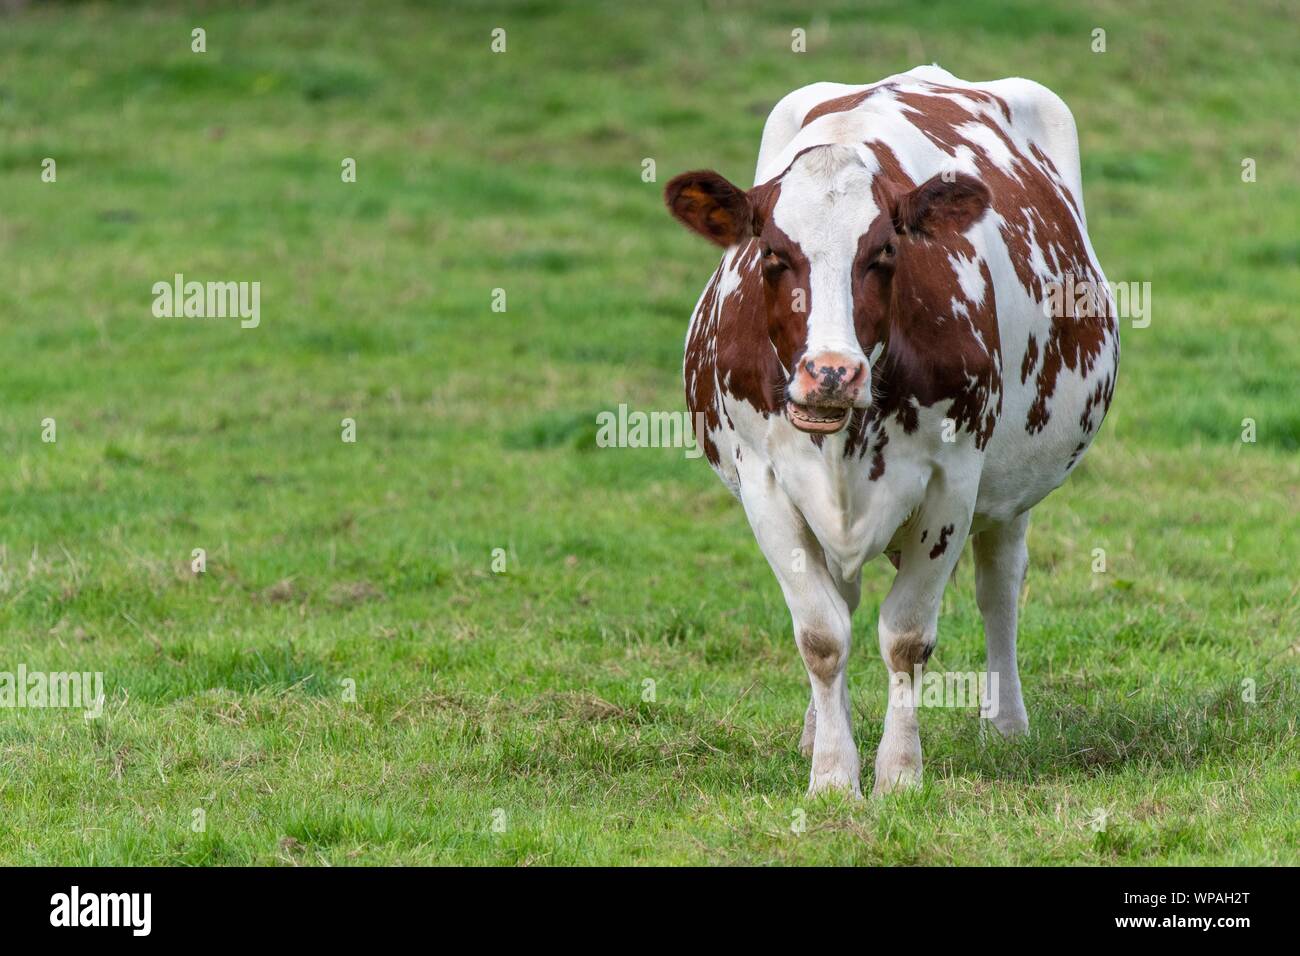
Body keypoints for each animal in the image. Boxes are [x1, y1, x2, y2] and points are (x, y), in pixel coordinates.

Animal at [664, 66, 1118, 796]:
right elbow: (822, 636)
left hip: (1014, 484)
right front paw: (831, 774)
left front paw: (899, 774)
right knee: (845, 601)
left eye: (882, 252)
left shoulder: (951, 484)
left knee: (999, 587)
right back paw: (816, 730)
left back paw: (1007, 726)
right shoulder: (766, 484)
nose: (831, 372)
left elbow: (907, 637)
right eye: (772, 254)